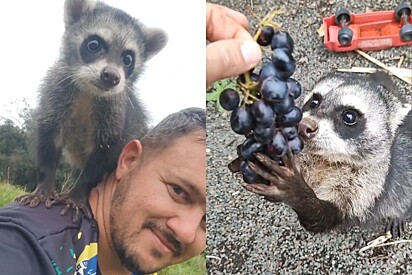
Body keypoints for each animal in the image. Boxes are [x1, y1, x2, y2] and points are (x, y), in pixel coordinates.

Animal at [16, 0, 167, 222]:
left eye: (128, 58)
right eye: (94, 45)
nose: (111, 76)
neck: (89, 91)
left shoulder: (114, 114)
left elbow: (102, 154)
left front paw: (78, 192)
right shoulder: (56, 92)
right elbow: (49, 136)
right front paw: (44, 183)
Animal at [245, 72, 412, 238]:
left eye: (349, 116)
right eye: (314, 102)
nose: (303, 125)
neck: (325, 158)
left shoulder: (371, 181)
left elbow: (328, 218)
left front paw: (297, 194)